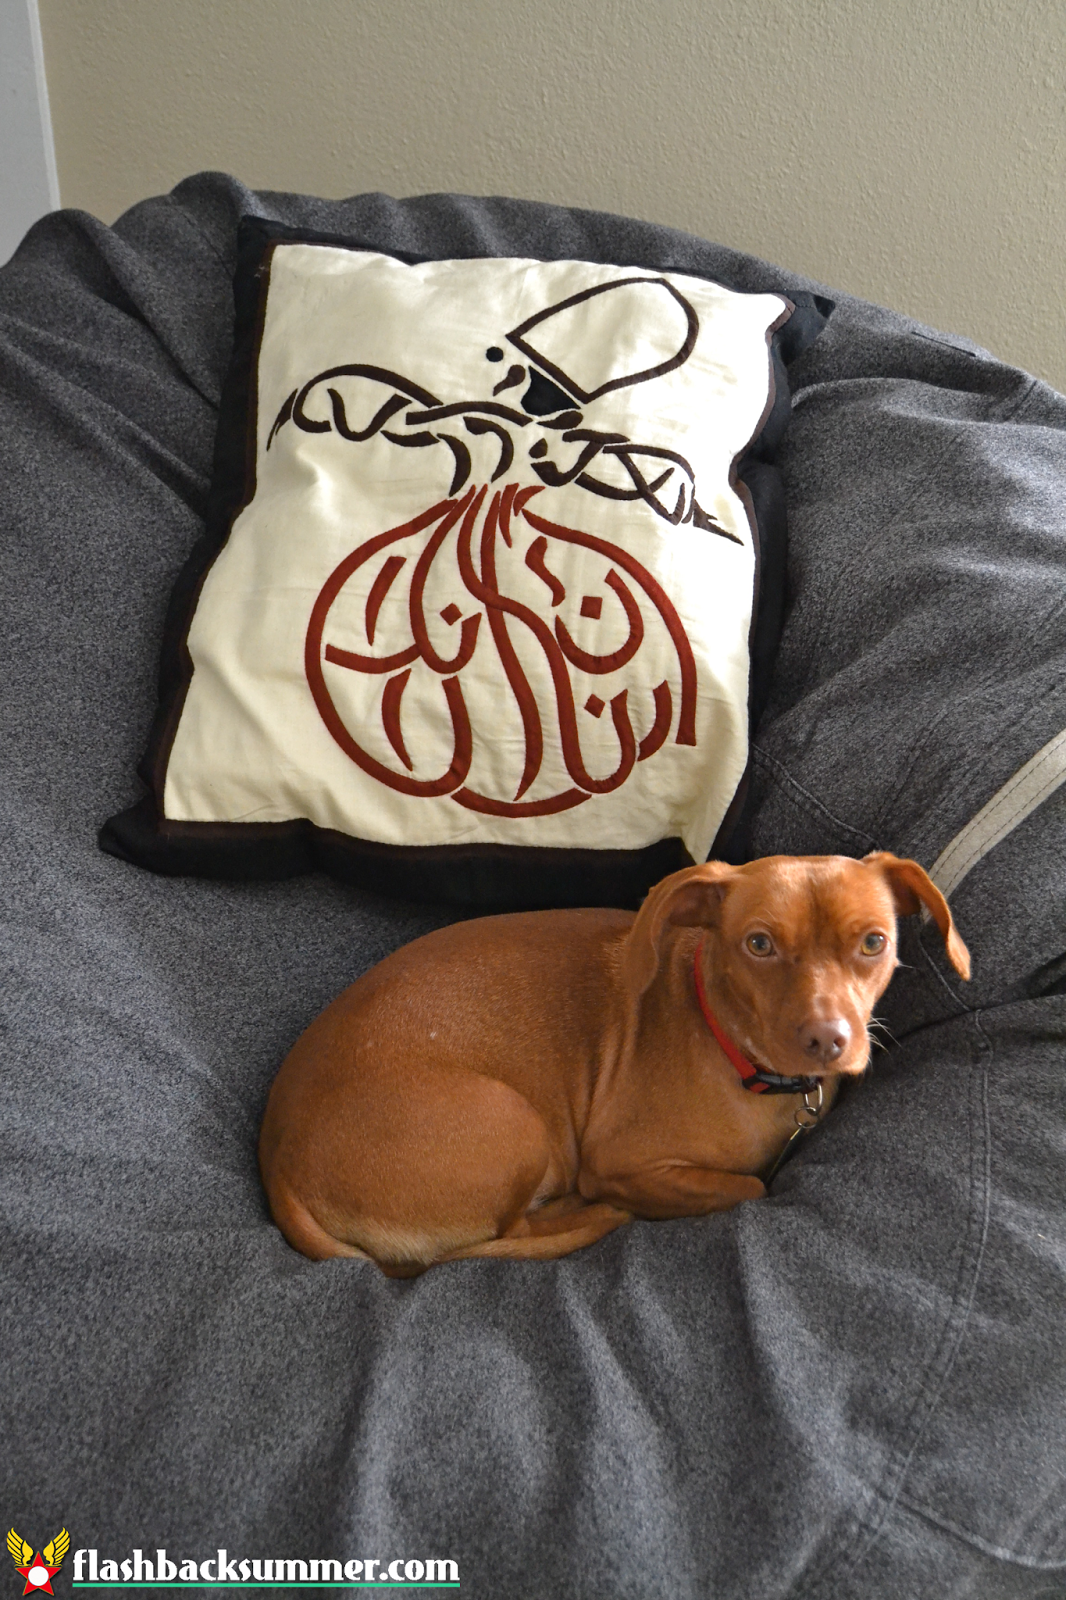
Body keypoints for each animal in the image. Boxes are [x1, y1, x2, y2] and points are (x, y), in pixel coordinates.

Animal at [257, 851, 960, 1273]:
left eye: (874, 943)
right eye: (758, 944)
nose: (828, 1039)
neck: (730, 1044)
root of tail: (277, 1162)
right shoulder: (623, 1163)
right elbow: (748, 1185)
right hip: (517, 1126)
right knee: (515, 1228)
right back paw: (586, 1213)